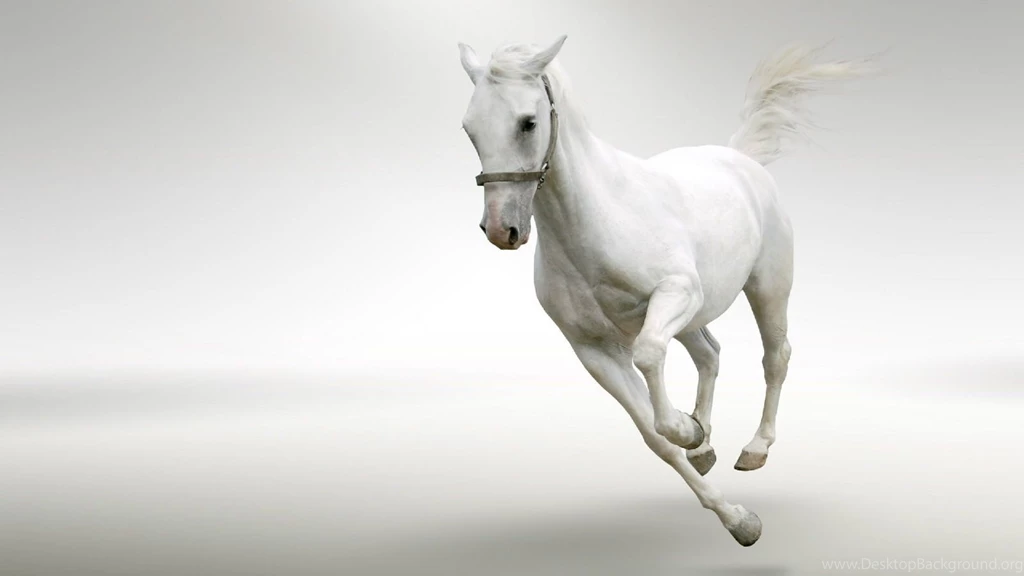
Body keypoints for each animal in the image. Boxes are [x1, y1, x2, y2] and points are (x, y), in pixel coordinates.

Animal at [456, 35, 872, 546]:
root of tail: (740, 158)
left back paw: (754, 448)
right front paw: (736, 514)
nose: (502, 230)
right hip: (696, 316)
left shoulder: (674, 295)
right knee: (710, 354)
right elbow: (655, 437)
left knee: (776, 357)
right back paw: (705, 444)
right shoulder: (593, 349)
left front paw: (689, 434)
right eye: (470, 129)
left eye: (527, 122)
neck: (598, 219)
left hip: (767, 287)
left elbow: (651, 356)